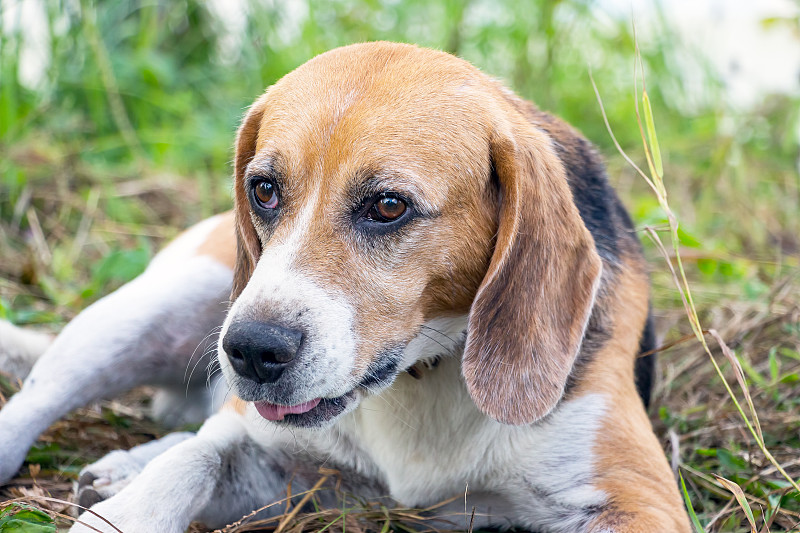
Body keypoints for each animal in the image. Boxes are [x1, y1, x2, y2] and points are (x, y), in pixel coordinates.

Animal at [0, 42, 688, 532]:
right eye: (264, 190)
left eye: (388, 206)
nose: (251, 352)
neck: (423, 374)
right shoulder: (278, 459)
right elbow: (192, 460)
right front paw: (121, 514)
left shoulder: (636, 498)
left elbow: (194, 449)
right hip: (154, 310)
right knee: (48, 403)